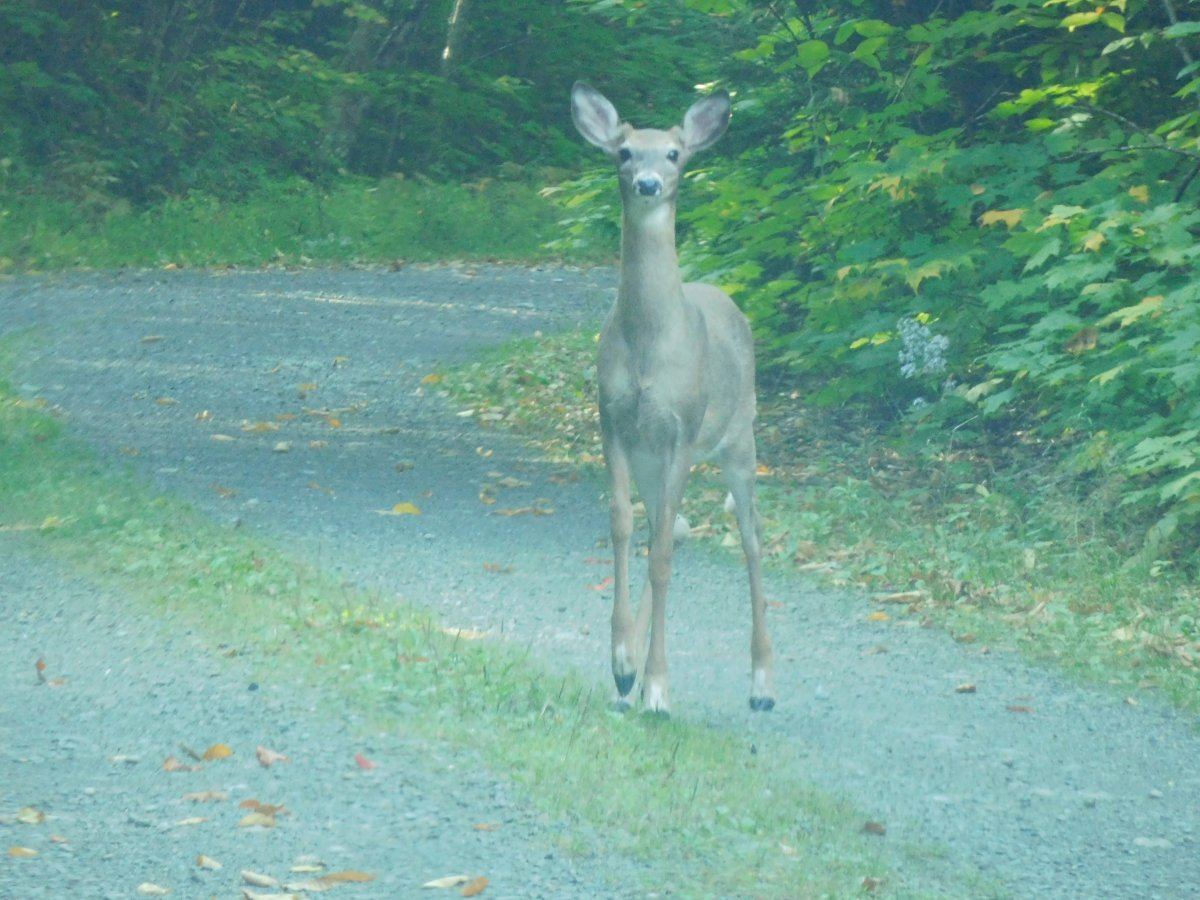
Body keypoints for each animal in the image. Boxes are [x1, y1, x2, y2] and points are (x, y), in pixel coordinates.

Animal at [570, 82, 775, 715]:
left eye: (674, 154)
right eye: (623, 152)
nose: (648, 183)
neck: (648, 346)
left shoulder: (683, 427)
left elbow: (660, 556)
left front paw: (658, 687)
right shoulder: (613, 422)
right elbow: (622, 527)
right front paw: (622, 665)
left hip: (739, 437)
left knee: (751, 538)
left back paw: (762, 684)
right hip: (652, 459)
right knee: (674, 526)